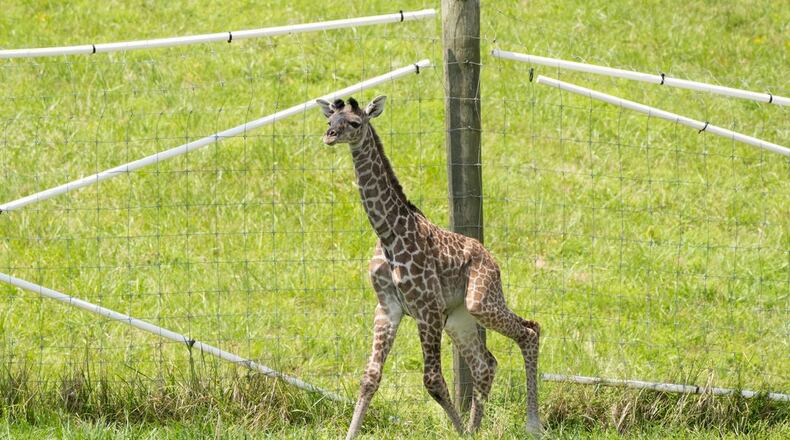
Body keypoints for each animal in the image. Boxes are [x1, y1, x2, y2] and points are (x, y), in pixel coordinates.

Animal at [316, 95, 542, 439]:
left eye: (354, 123)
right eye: (332, 119)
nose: (329, 136)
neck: (388, 234)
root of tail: (493, 259)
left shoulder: (427, 308)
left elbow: (433, 381)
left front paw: (459, 432)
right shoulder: (388, 308)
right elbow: (370, 377)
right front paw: (349, 434)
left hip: (481, 301)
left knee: (529, 331)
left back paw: (532, 423)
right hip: (459, 317)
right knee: (485, 364)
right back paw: (477, 428)